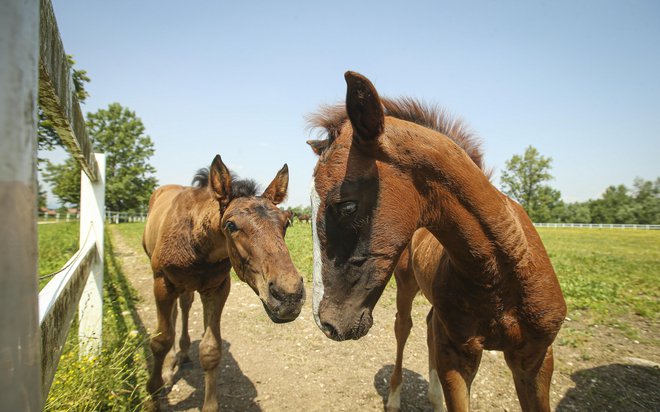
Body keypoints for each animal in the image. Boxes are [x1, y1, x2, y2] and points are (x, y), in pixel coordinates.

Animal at [143, 155, 306, 412]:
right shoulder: (162, 282)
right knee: (173, 317)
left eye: (286, 222)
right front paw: (154, 395)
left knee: (185, 306)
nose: (289, 296)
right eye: (231, 225)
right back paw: (170, 368)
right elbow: (160, 340)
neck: (197, 242)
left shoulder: (217, 288)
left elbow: (210, 350)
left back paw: (183, 353)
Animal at [306, 72, 564, 410]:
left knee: (429, 325)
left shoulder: (536, 359)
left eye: (346, 206)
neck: (500, 276)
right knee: (405, 328)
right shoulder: (457, 354)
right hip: (406, 285)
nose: (325, 323)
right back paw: (396, 396)